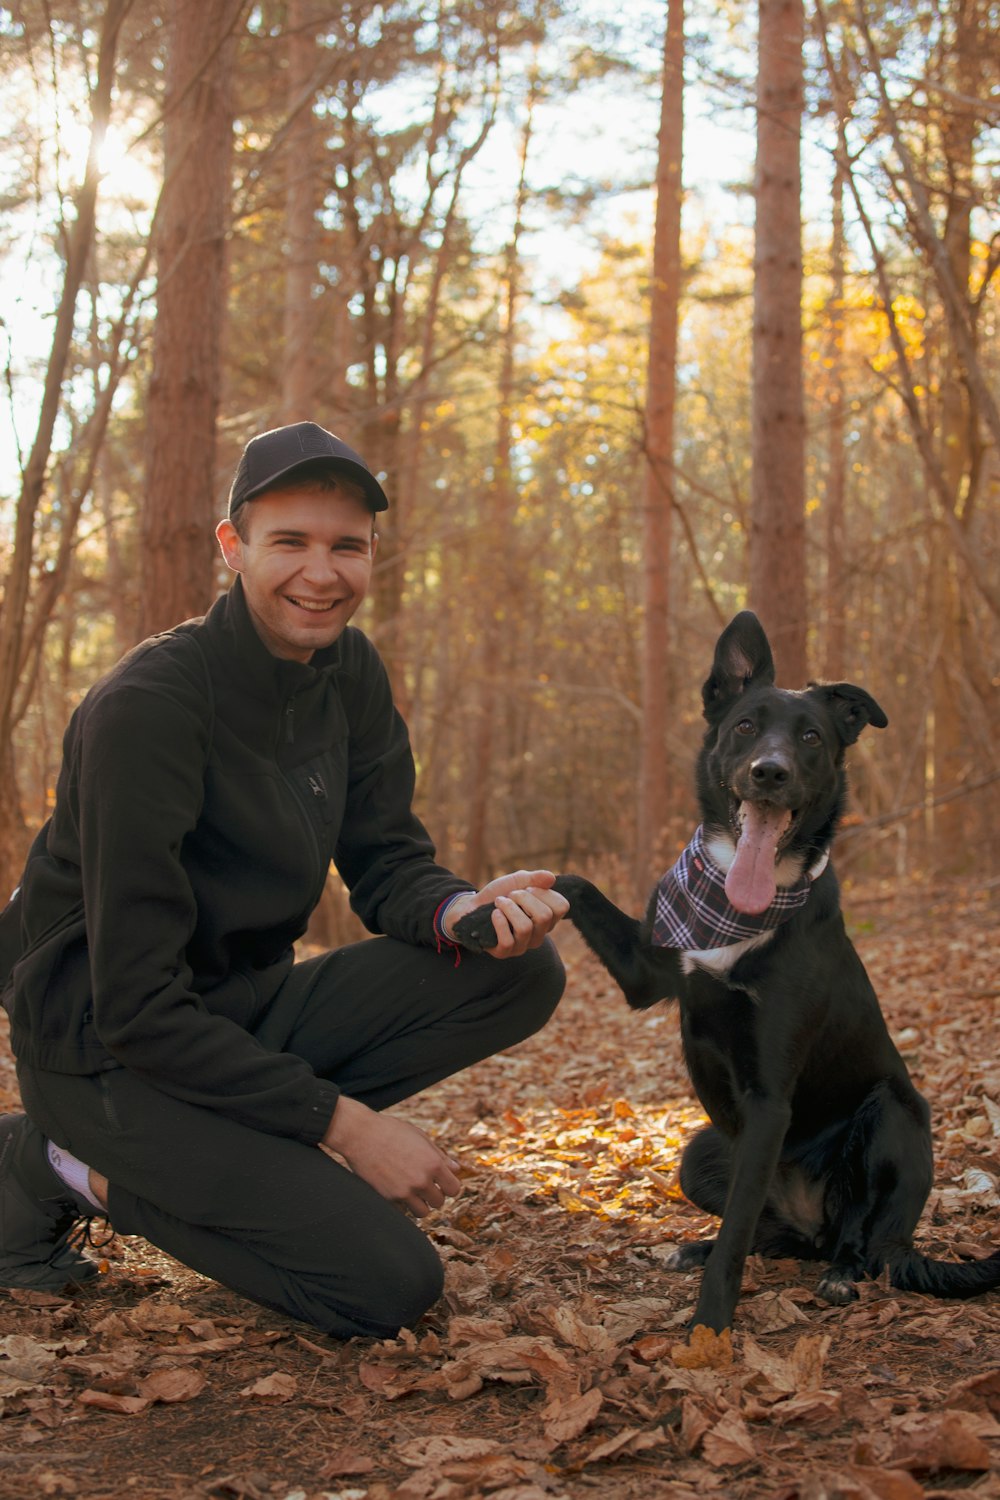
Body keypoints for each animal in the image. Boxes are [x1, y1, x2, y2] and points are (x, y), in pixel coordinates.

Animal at [458, 615, 1000, 1332]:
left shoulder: (769, 1099)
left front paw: (709, 1328)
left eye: (811, 738)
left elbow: (739, 1233)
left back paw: (841, 1273)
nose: (769, 772)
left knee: (858, 1235)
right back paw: (699, 1246)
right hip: (700, 1151)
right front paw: (482, 917)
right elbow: (569, 881)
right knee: (778, 1234)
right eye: (745, 725)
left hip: (894, 1113)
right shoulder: (648, 972)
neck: (733, 910)